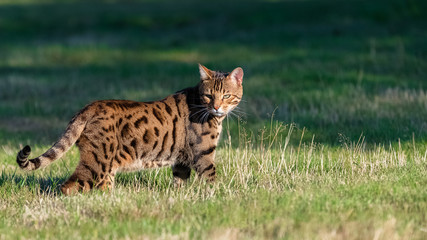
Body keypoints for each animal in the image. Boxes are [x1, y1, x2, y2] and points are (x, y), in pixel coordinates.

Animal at [15, 64, 244, 195]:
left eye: (226, 95)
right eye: (209, 96)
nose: (216, 107)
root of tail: (89, 107)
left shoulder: (182, 159)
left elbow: (179, 182)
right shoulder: (203, 154)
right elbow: (212, 179)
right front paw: (221, 197)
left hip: (107, 166)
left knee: (100, 185)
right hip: (98, 162)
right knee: (69, 186)